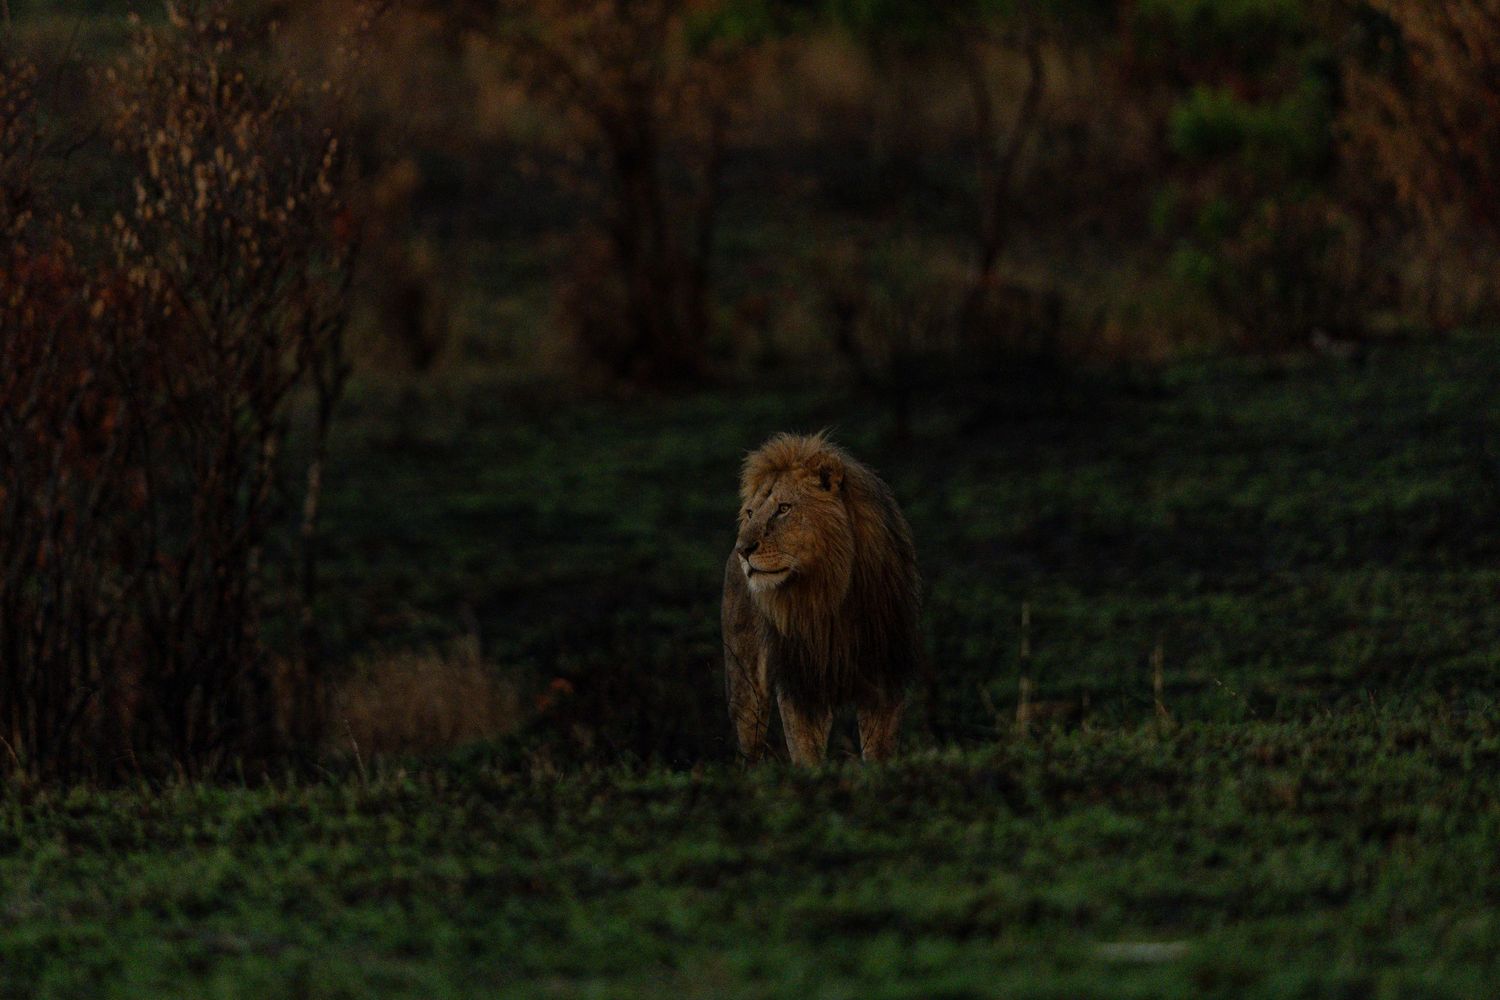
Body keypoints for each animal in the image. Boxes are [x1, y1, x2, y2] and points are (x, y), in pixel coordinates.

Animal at [721, 432, 921, 764]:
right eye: (750, 513)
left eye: (783, 508)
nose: (743, 550)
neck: (830, 595)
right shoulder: (802, 684)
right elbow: (806, 755)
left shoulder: (886, 675)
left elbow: (879, 752)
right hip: (745, 685)